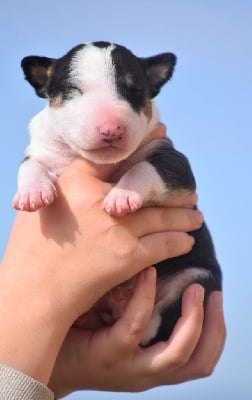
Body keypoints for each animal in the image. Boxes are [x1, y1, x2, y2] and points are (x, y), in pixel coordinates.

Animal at [13, 42, 222, 346]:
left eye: (133, 90)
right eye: (74, 91)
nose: (111, 129)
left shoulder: (177, 168)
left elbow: (142, 168)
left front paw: (122, 195)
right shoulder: (42, 149)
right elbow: (30, 165)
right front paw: (32, 194)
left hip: (195, 279)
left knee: (152, 327)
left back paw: (124, 306)